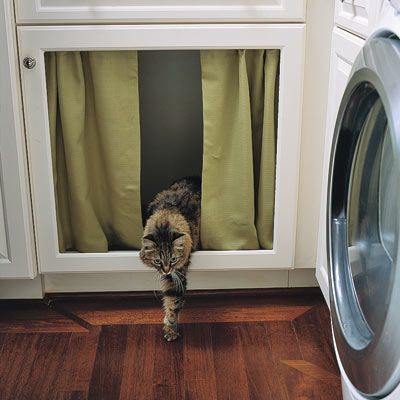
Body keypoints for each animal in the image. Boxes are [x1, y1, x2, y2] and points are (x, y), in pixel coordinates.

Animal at [140, 177, 202, 340]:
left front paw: (171, 329)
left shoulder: (177, 274)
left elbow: (173, 302)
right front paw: (169, 325)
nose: (166, 271)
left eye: (173, 259)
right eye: (157, 261)